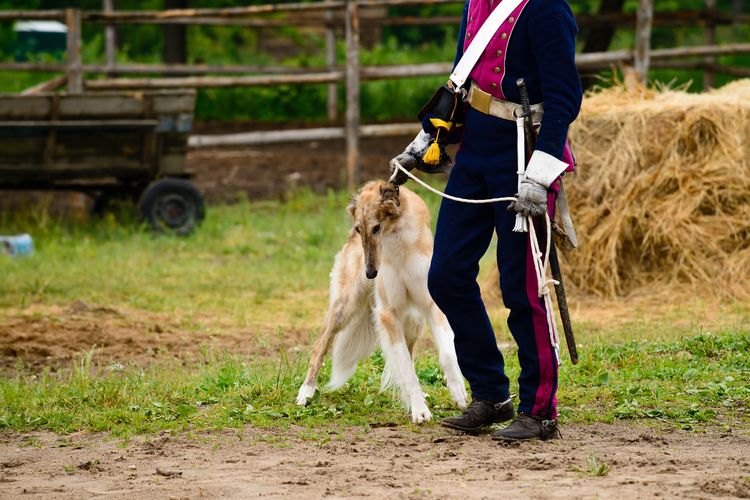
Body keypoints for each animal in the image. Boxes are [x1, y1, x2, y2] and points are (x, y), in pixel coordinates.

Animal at [296, 180, 468, 422]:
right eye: (359, 229)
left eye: (377, 228)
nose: (370, 274)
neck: (399, 242)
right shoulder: (387, 312)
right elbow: (405, 368)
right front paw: (419, 410)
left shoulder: (432, 304)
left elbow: (446, 354)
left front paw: (458, 392)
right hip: (345, 307)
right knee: (320, 345)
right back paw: (306, 392)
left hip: (413, 322)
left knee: (410, 354)